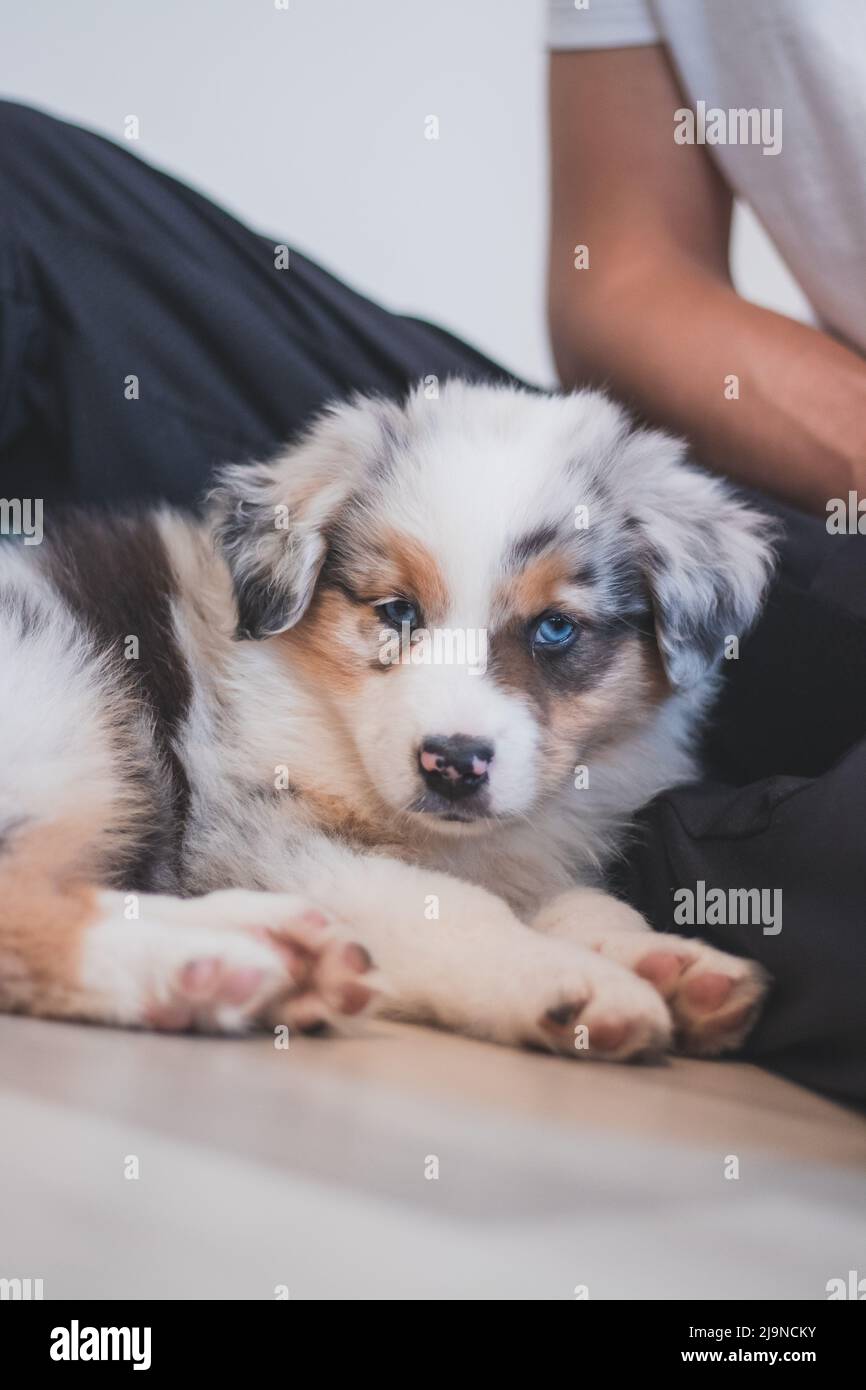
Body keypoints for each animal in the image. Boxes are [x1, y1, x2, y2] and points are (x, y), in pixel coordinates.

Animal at [0, 386, 772, 1056]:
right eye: (398, 610)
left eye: (555, 628)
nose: (454, 763)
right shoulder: (250, 826)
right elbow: (447, 906)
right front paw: (567, 981)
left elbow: (577, 899)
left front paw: (669, 961)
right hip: (74, 717)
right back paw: (210, 969)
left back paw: (285, 948)